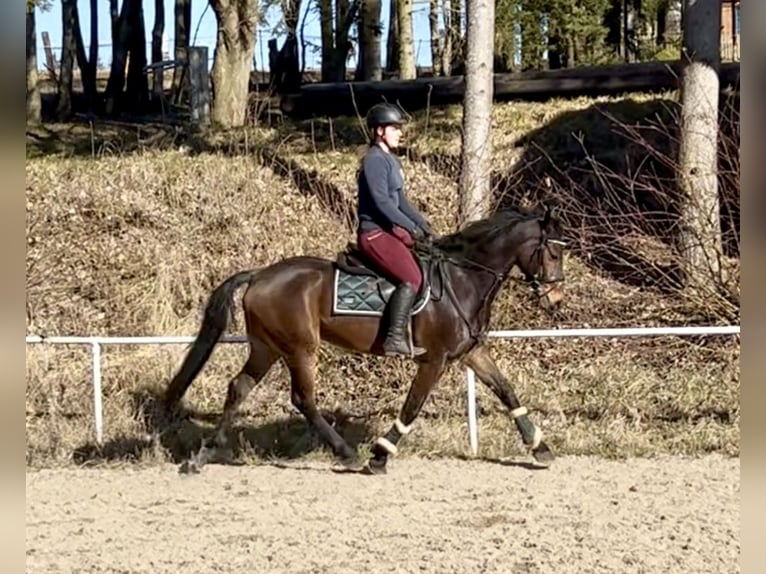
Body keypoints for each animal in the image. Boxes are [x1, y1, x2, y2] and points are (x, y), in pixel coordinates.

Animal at [164, 204, 568, 476]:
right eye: (553, 251)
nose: (556, 299)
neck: (464, 278)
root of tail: (261, 274)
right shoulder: (434, 360)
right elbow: (412, 406)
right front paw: (380, 454)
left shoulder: (471, 352)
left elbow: (507, 391)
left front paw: (540, 448)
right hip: (299, 348)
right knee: (303, 398)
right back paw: (347, 453)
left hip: (267, 347)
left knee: (239, 387)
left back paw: (202, 457)